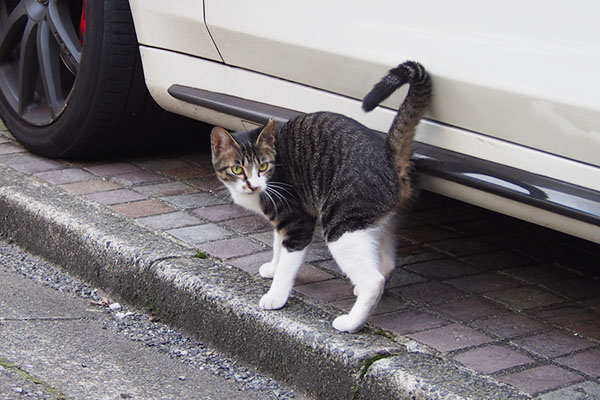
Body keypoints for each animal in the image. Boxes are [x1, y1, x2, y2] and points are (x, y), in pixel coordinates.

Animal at [211, 61, 432, 332]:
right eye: (237, 169)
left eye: (262, 166)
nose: (252, 185)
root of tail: (389, 158)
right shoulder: (282, 222)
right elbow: (277, 245)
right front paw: (273, 266)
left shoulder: (298, 221)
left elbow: (288, 262)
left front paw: (276, 295)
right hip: (377, 222)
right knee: (387, 263)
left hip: (341, 224)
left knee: (374, 280)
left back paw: (351, 321)